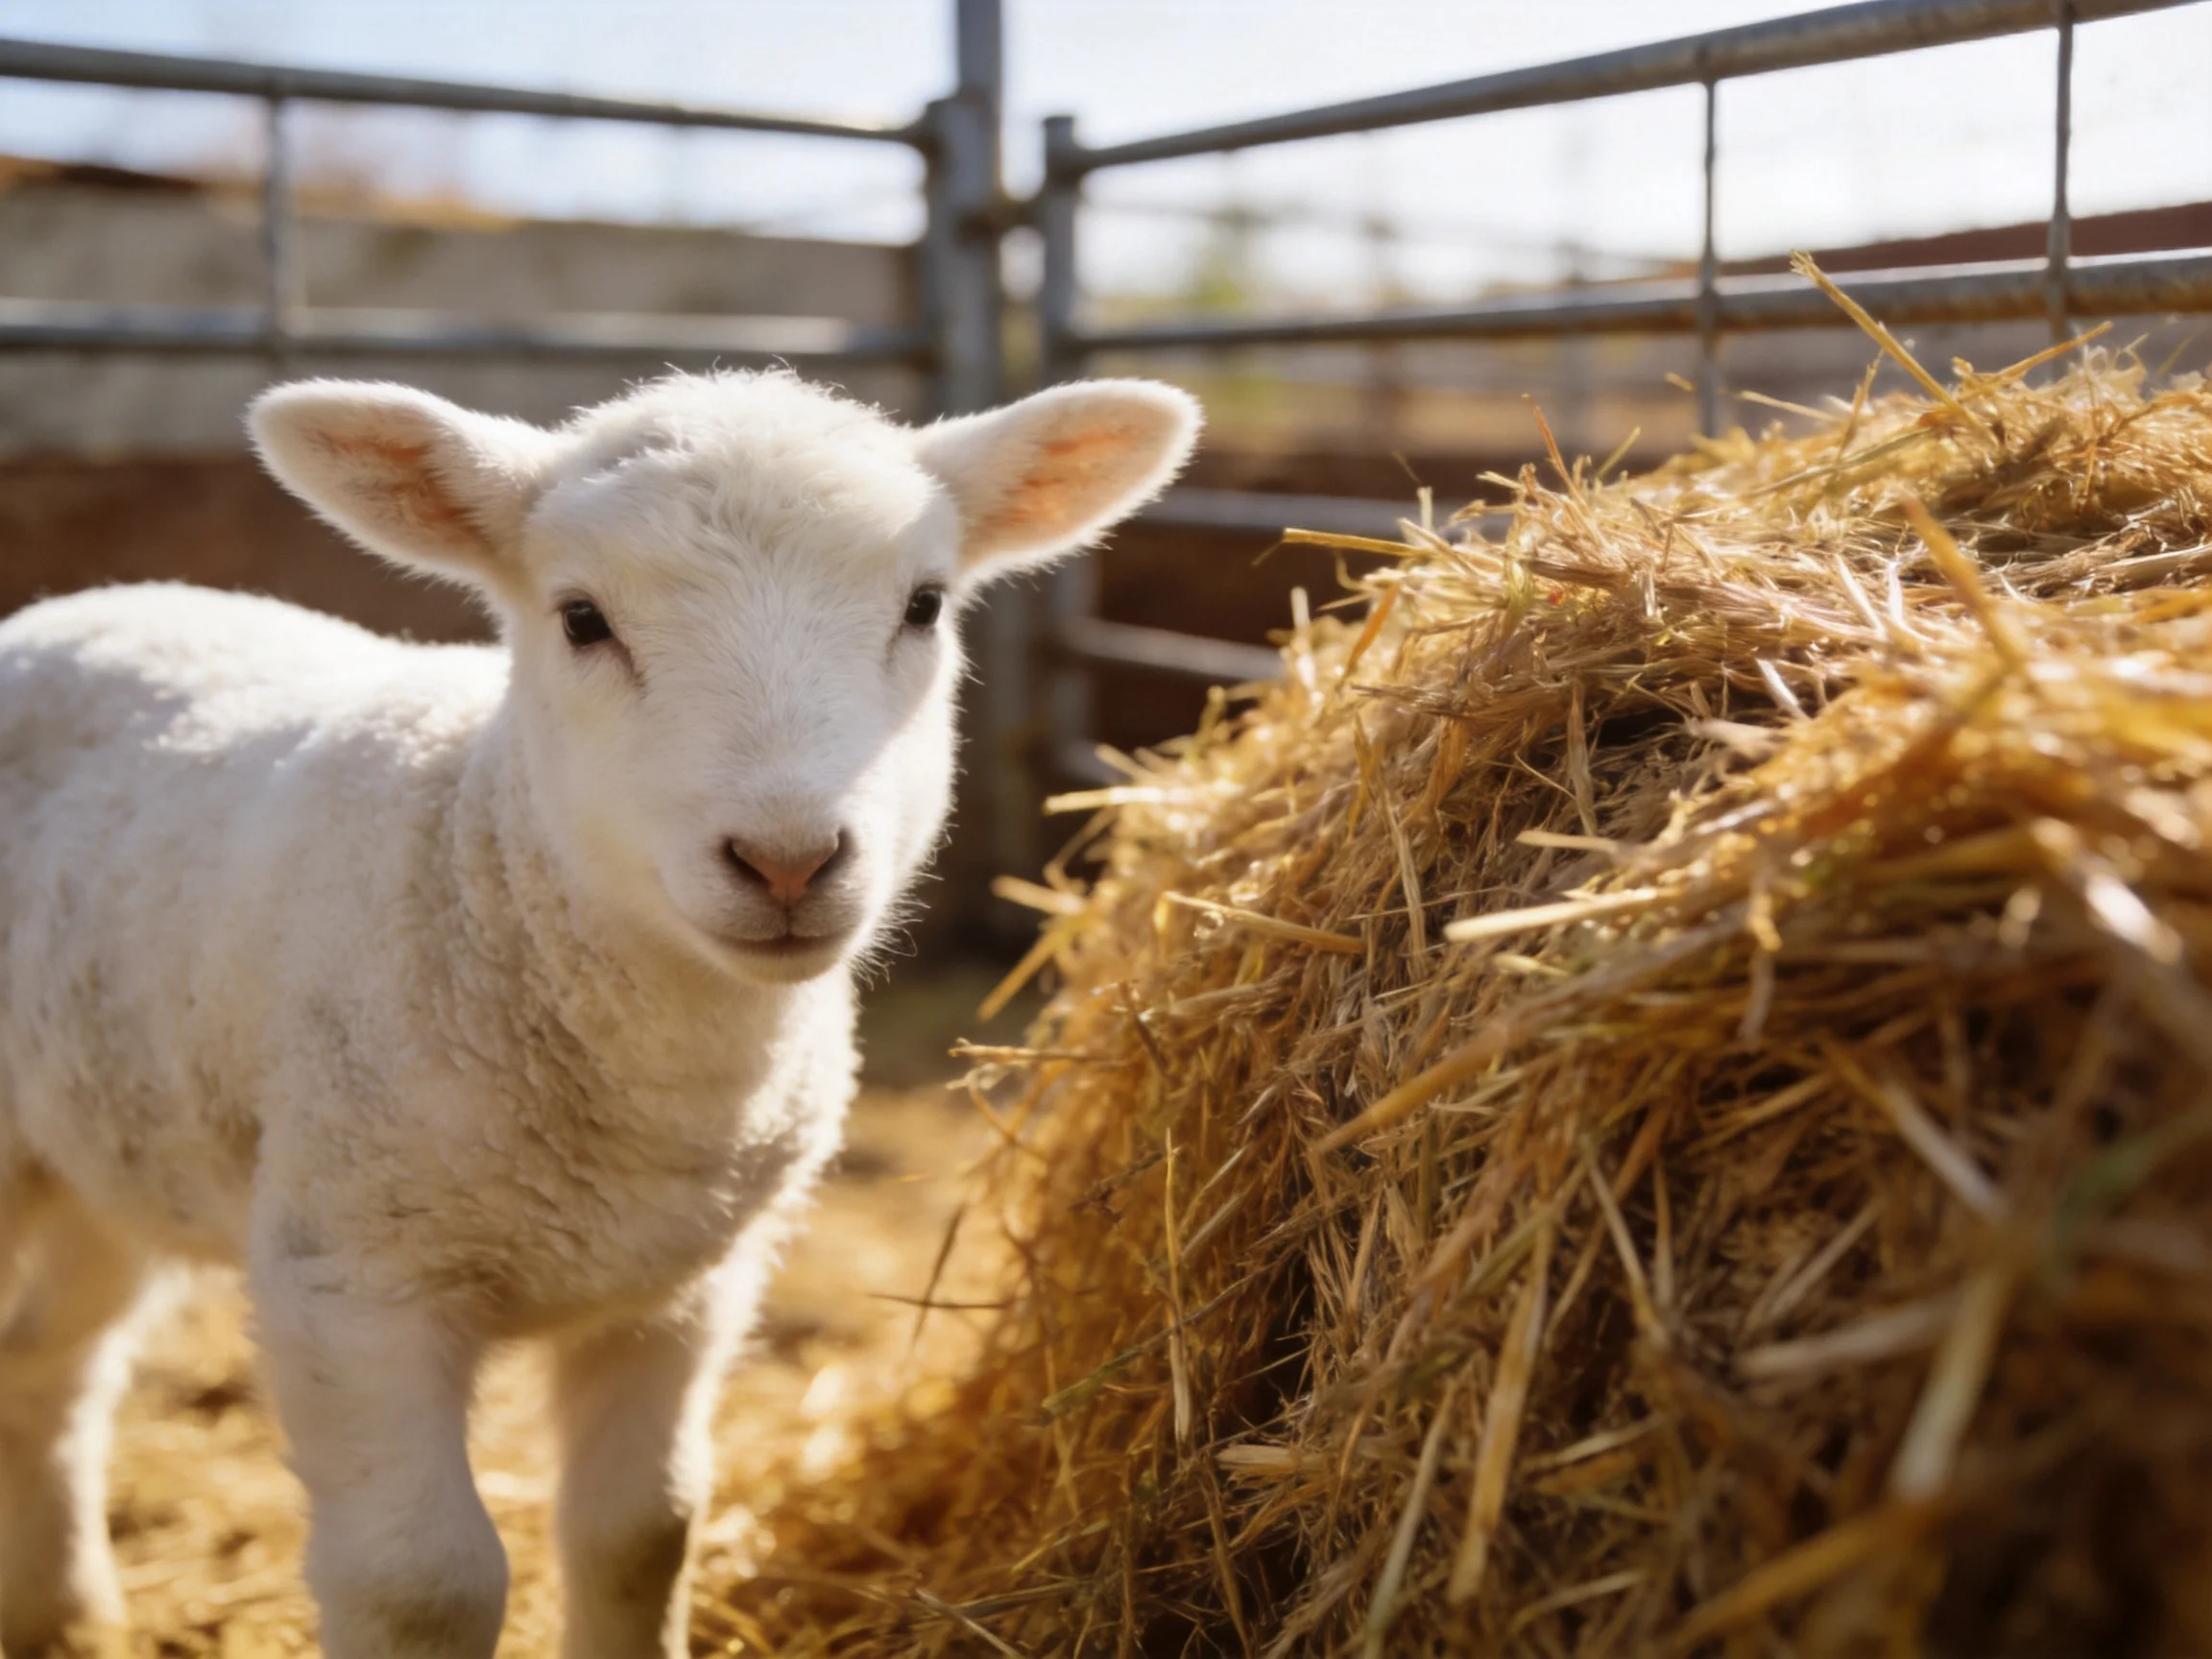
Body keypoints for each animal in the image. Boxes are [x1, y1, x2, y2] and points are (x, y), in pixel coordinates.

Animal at [0, 367, 1200, 1659]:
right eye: (581, 620)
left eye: (924, 605)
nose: (787, 861)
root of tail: (85, 604)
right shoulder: (350, 1277)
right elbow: (422, 1584)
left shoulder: (681, 1289)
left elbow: (643, 1533)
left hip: (106, 1145)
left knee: (49, 1362)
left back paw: (65, 1614)